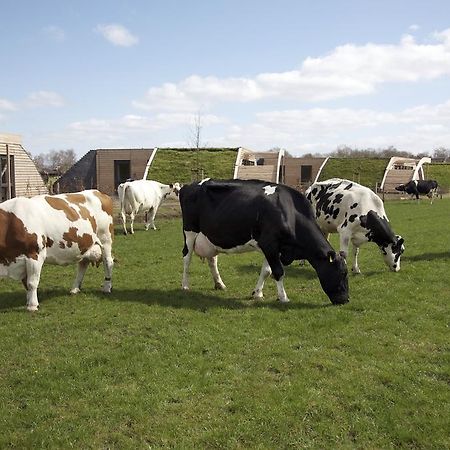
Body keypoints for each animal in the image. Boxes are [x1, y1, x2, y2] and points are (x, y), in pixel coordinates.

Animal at [178, 178, 348, 304]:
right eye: (342, 273)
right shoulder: (270, 244)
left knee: (212, 260)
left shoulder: (274, 247)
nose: (346, 300)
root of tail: (189, 185)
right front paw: (283, 297)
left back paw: (220, 284)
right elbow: (278, 271)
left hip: (211, 237)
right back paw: (185, 285)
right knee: (187, 257)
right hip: (190, 231)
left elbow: (267, 271)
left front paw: (257, 293)